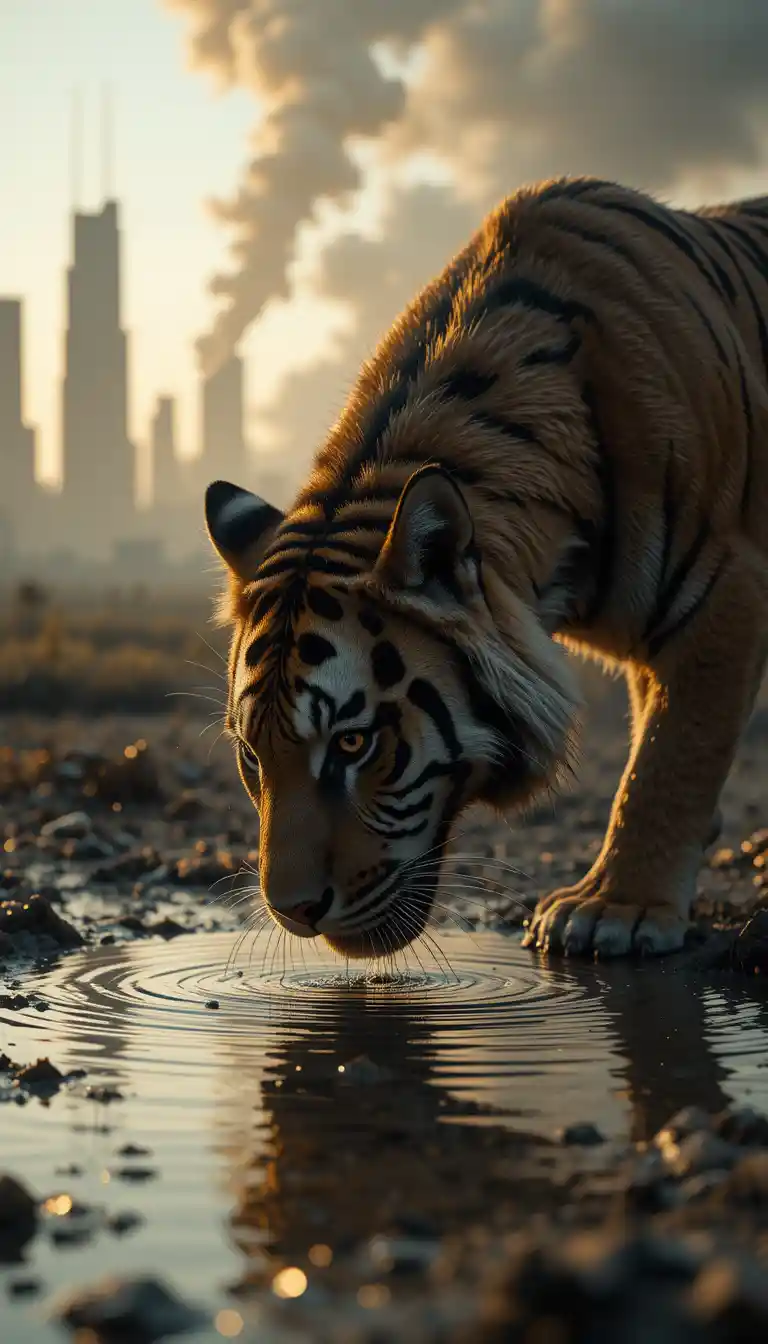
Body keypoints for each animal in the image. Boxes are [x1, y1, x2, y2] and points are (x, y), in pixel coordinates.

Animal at [205, 175, 768, 962]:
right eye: (252, 756)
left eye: (353, 743)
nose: (294, 912)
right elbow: (657, 728)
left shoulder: (726, 588)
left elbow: (672, 754)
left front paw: (616, 907)